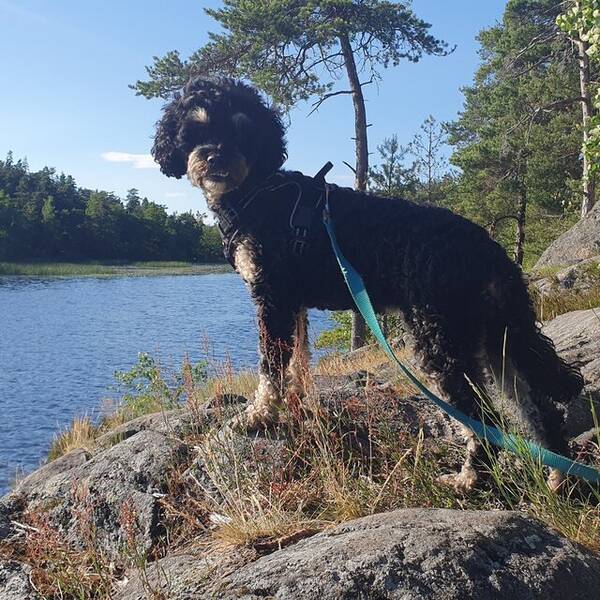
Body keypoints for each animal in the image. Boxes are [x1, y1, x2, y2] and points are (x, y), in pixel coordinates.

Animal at [152, 78, 584, 492]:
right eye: (196, 129)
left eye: (242, 131)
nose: (215, 157)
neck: (257, 191)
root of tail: (489, 248)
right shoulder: (293, 303)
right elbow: (298, 362)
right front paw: (295, 405)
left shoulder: (272, 297)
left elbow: (270, 366)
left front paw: (259, 414)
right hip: (495, 337)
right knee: (538, 406)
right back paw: (560, 478)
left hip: (441, 339)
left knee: (486, 418)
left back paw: (470, 479)